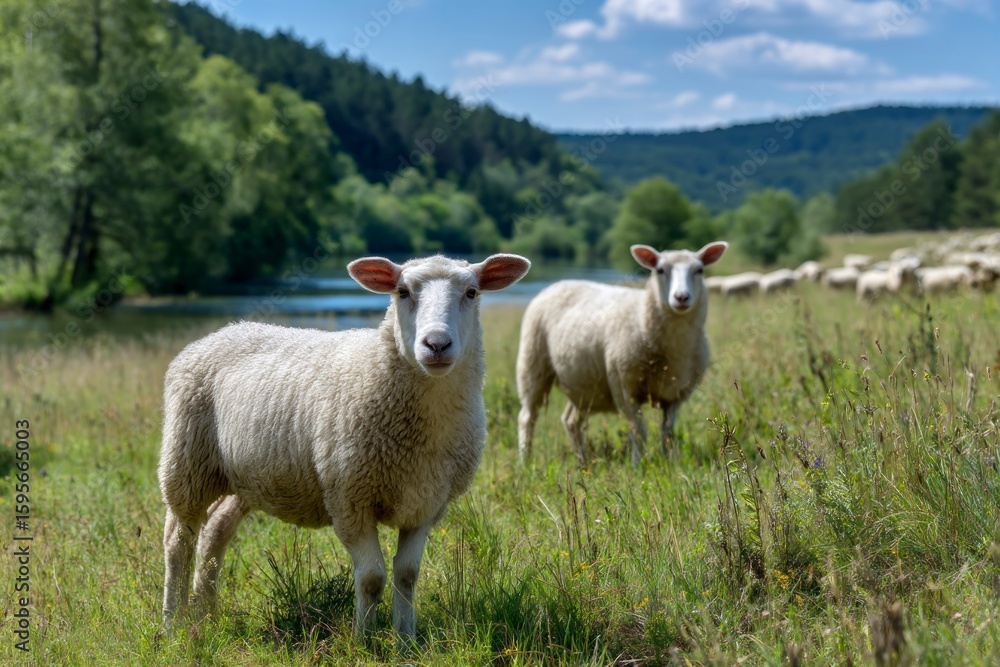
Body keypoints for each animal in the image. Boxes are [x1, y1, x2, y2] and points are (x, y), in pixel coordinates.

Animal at [158, 253, 531, 639]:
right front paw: (364, 639)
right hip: (186, 461)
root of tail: (223, 331)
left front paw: (405, 638)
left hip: (243, 478)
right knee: (178, 542)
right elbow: (372, 578)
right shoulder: (349, 498)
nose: (437, 345)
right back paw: (173, 623)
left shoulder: (427, 504)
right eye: (401, 292)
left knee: (215, 533)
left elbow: (407, 575)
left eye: (472, 292)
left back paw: (206, 614)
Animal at [516, 241, 728, 467]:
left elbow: (668, 432)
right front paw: (637, 465)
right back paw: (524, 460)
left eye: (699, 270)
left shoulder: (677, 395)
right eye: (660, 270)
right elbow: (639, 430)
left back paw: (583, 462)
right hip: (532, 364)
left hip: (583, 384)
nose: (681, 297)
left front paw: (669, 462)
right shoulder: (625, 387)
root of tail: (558, 283)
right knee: (527, 417)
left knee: (570, 420)